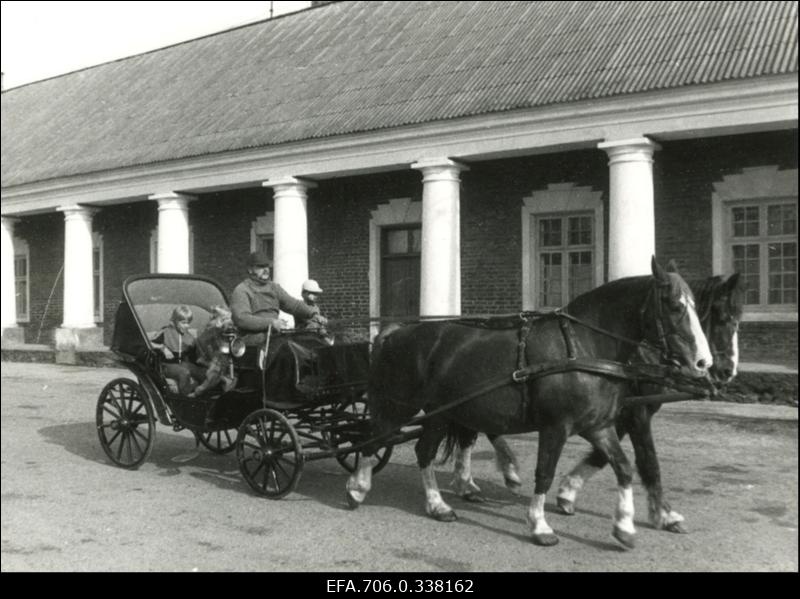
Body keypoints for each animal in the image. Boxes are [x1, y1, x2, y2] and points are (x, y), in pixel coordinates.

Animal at [346, 258, 708, 548]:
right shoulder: (557, 426)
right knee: (375, 440)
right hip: (401, 405)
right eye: (674, 305)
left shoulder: (599, 426)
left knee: (425, 451)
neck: (583, 348)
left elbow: (624, 467)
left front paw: (624, 526)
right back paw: (359, 487)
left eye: (696, 304)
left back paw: (440, 503)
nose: (704, 363)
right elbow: (545, 473)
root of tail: (393, 331)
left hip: (442, 412)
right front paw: (540, 525)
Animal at [450, 272, 744, 536]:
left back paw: (477, 480)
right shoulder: (636, 413)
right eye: (722, 318)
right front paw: (665, 514)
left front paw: (569, 492)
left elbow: (607, 456)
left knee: (472, 430)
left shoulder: (612, 414)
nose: (725, 371)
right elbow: (649, 461)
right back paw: (498, 473)